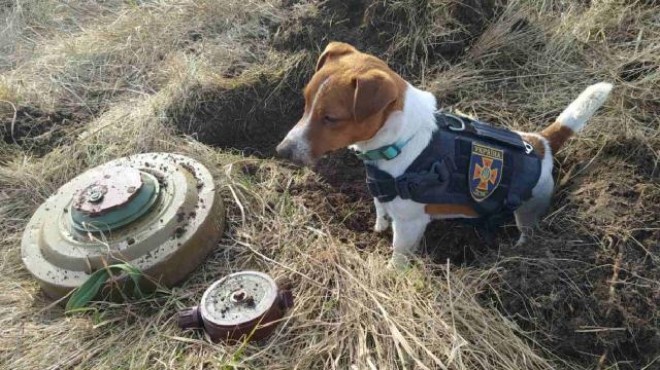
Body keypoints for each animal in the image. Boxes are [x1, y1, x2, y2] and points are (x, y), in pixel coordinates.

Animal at [274, 42, 612, 268]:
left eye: (331, 118)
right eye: (305, 102)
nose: (282, 150)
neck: (401, 140)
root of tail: (540, 142)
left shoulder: (410, 224)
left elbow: (398, 254)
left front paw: (391, 271)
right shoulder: (382, 194)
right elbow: (381, 212)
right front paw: (377, 229)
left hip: (529, 210)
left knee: (527, 231)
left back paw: (518, 250)